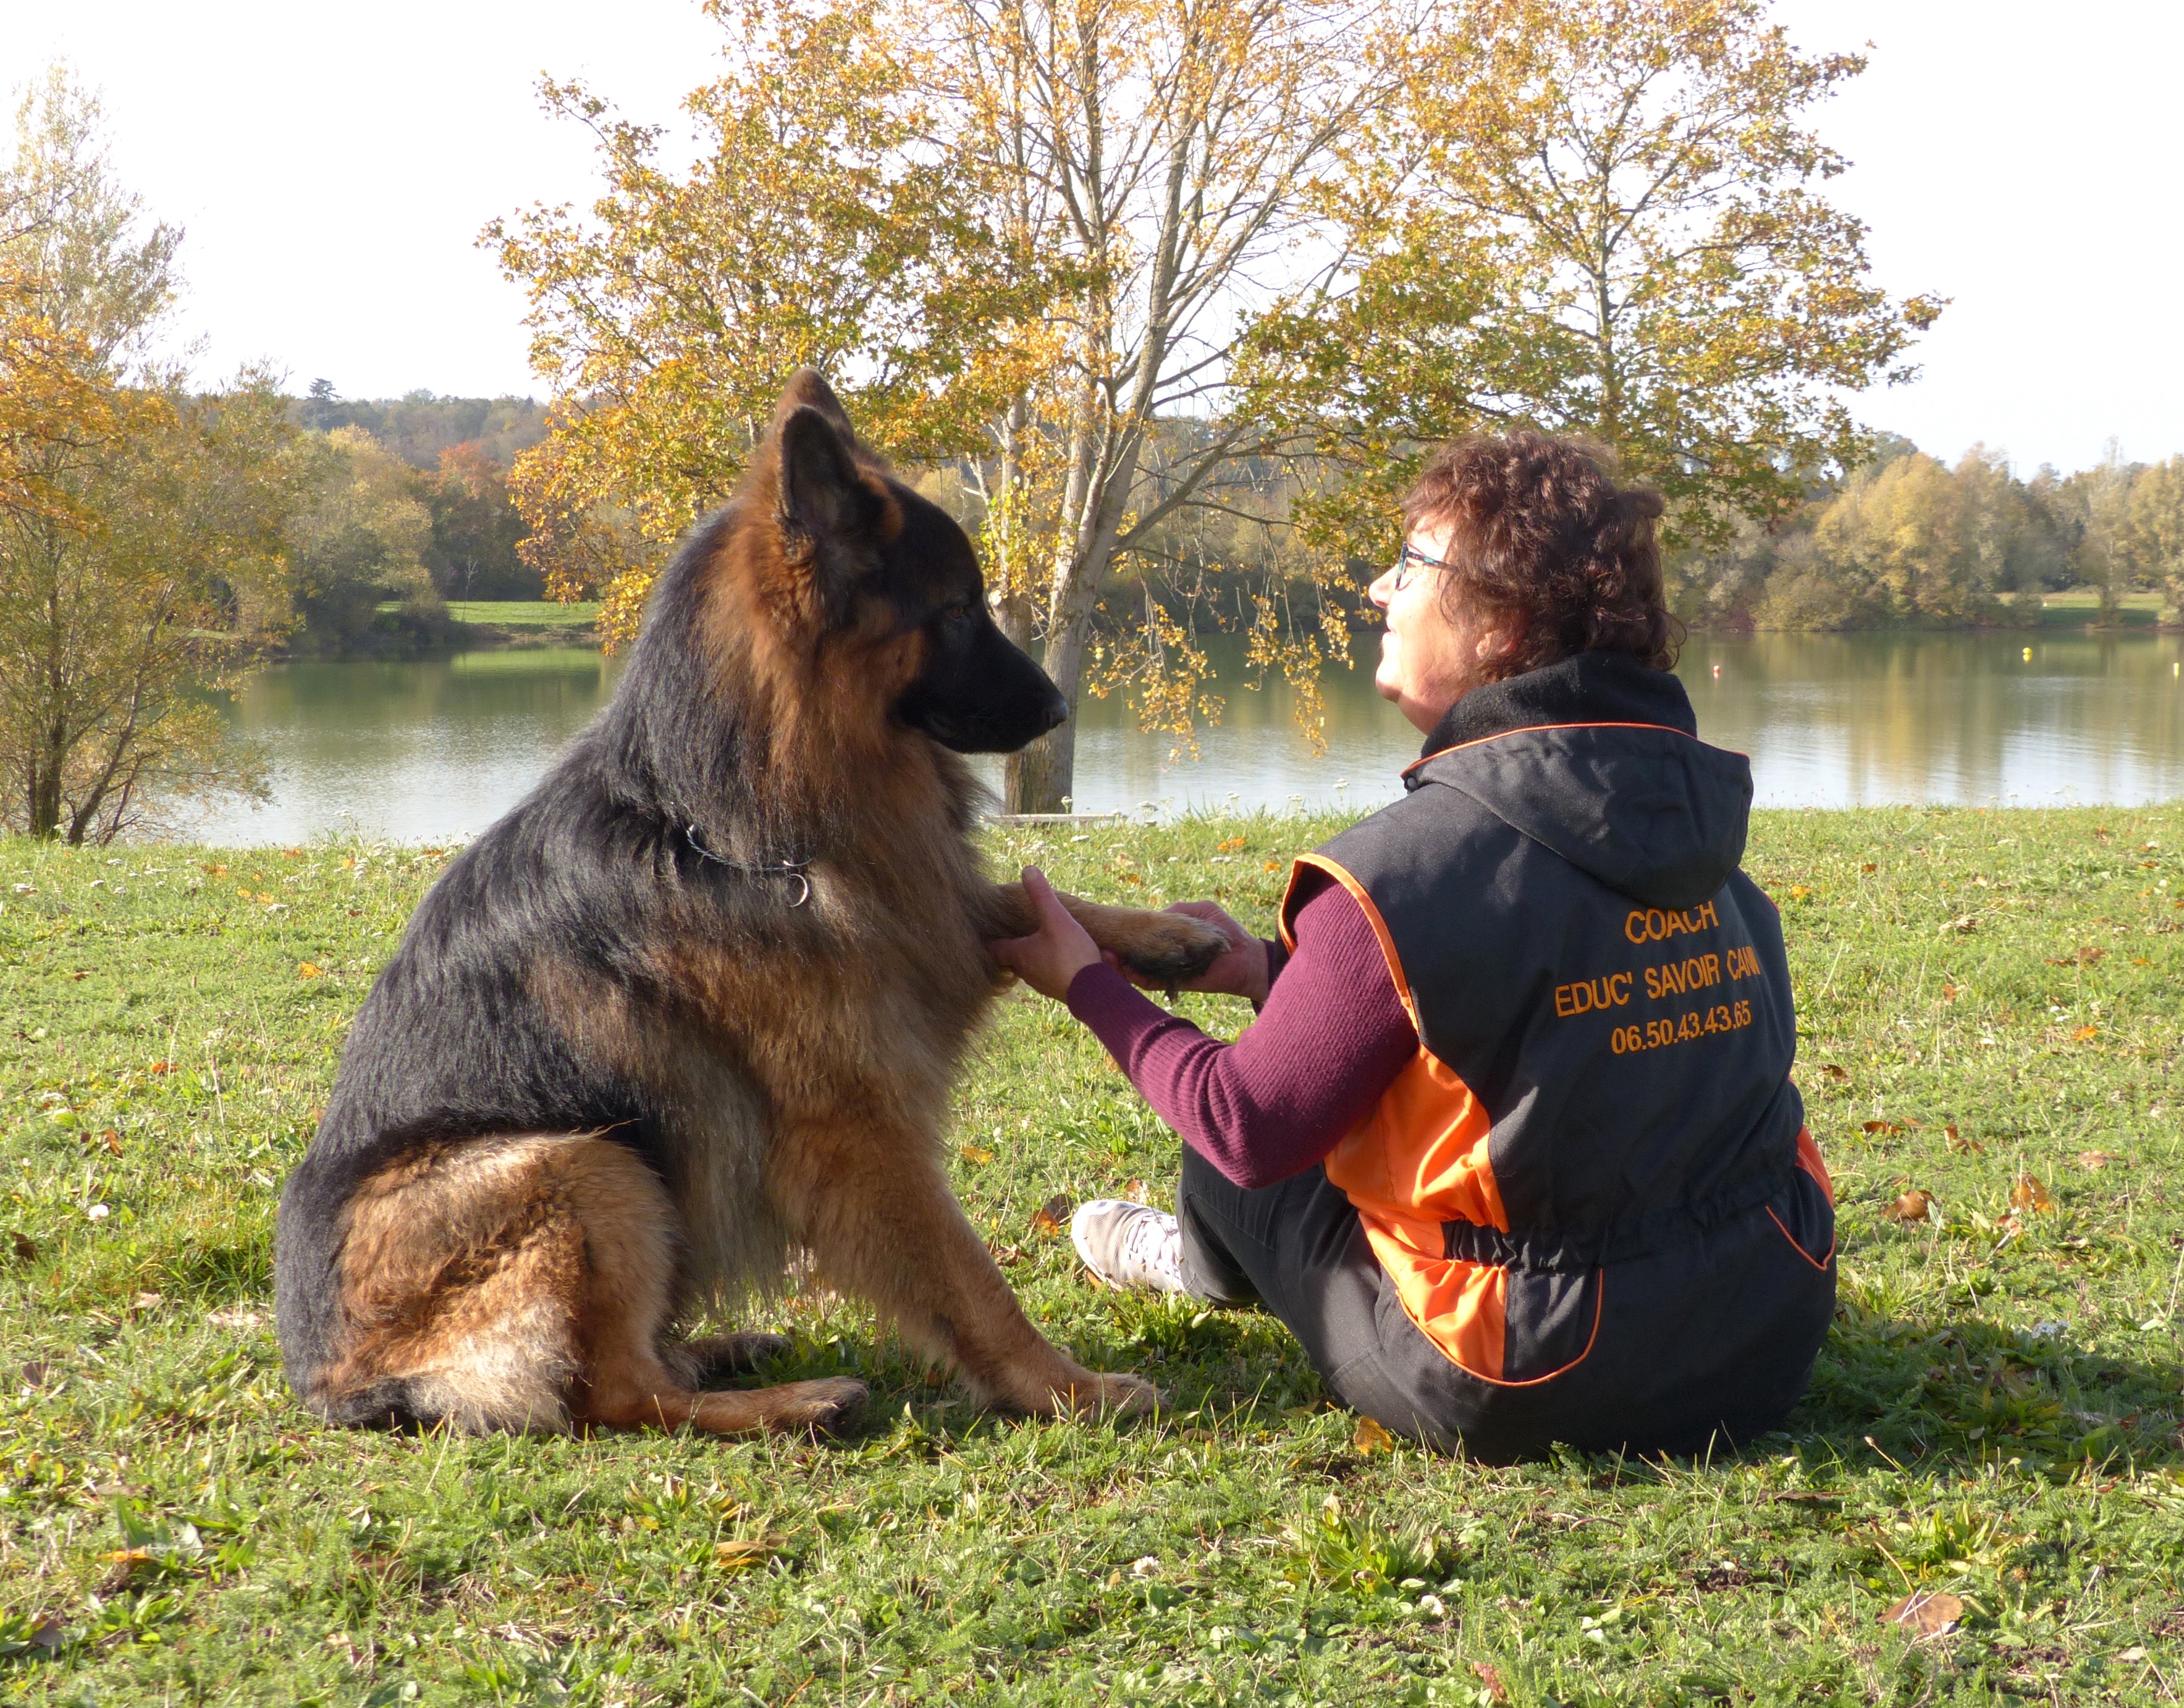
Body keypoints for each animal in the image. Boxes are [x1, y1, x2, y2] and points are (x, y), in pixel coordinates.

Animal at [275, 377, 1231, 1441]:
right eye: (956, 610)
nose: (1062, 713)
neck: (727, 821)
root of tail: (334, 1382)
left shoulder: (913, 913)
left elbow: (1024, 904)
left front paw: (1171, 936)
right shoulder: (857, 1130)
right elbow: (968, 1279)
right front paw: (1067, 1389)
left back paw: (722, 1349)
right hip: (588, 1167)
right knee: (616, 1394)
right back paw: (793, 1400)